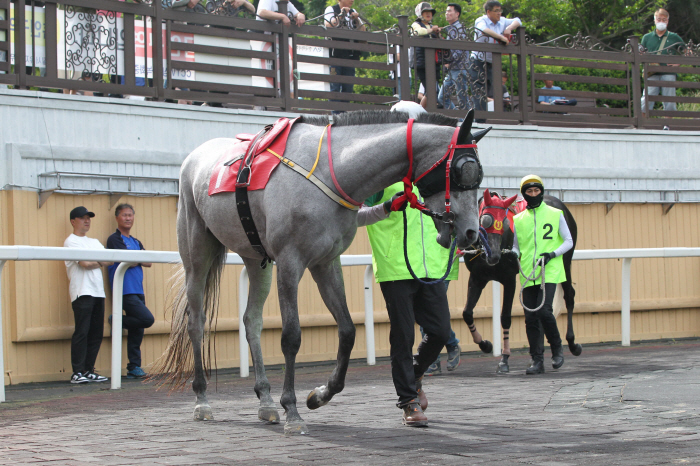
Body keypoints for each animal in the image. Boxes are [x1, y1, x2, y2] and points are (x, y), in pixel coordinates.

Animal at [157, 108, 490, 434]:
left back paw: (265, 401)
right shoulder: (290, 261)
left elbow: (347, 331)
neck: (332, 171)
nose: (471, 233)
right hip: (197, 254)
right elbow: (291, 337)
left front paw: (319, 395)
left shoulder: (326, 262)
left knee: (251, 321)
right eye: (464, 169)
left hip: (256, 259)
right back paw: (202, 400)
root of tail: (193, 158)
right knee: (196, 321)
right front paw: (291, 410)